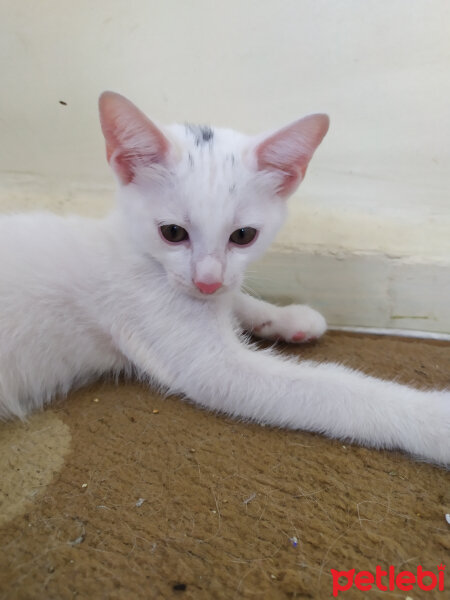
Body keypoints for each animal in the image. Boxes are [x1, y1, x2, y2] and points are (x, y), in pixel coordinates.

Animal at [0, 91, 448, 464]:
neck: (135, 251)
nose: (207, 281)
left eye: (244, 236)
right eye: (173, 232)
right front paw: (433, 420)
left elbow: (237, 298)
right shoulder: (208, 366)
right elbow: (332, 390)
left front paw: (285, 318)